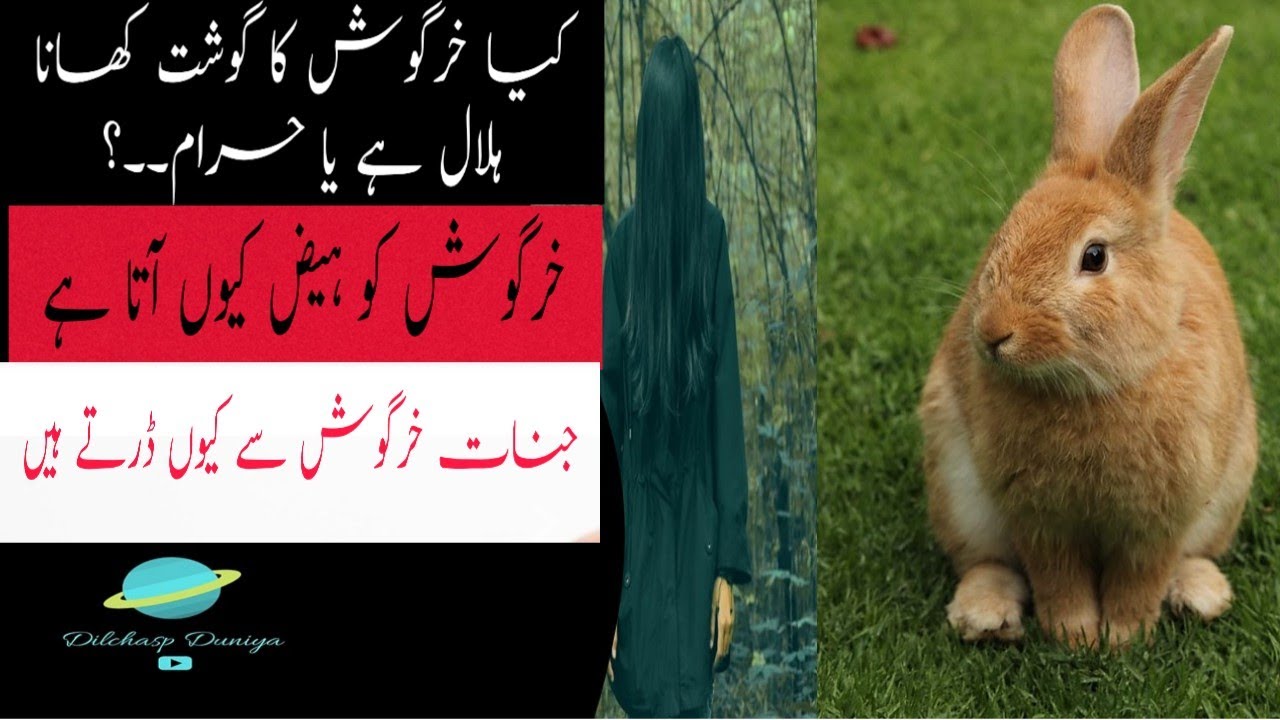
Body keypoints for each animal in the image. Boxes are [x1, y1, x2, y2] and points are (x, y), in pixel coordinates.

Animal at [919, 4, 1256, 649]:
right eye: (1003, 234)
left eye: (1094, 257)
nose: (994, 333)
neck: (1094, 388)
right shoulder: (1038, 518)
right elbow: (1057, 575)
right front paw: (1075, 634)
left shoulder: (1160, 520)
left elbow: (1140, 577)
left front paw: (1122, 638)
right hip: (957, 487)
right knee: (986, 561)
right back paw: (985, 618)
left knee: (1193, 556)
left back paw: (1201, 596)